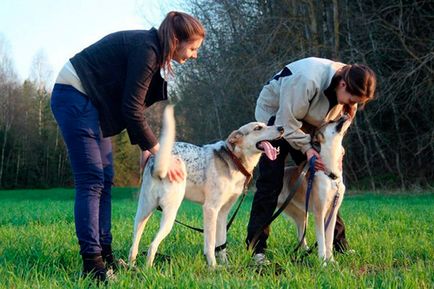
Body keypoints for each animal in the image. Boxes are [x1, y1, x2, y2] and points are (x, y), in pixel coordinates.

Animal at [128, 104, 284, 266]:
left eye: (266, 124)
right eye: (258, 128)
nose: (281, 128)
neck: (235, 159)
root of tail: (157, 162)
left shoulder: (222, 213)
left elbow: (221, 244)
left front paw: (225, 266)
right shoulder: (210, 209)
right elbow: (210, 244)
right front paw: (213, 266)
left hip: (143, 212)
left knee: (134, 246)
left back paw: (131, 266)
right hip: (170, 212)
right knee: (152, 245)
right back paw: (148, 269)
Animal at [278, 114, 352, 260]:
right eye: (331, 121)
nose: (344, 114)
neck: (329, 174)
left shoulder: (332, 213)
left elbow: (329, 240)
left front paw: (331, 261)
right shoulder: (319, 212)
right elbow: (322, 241)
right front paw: (323, 262)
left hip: (300, 215)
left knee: (301, 235)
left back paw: (305, 253)